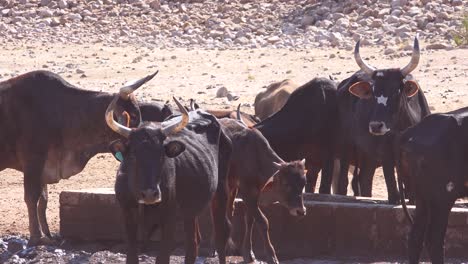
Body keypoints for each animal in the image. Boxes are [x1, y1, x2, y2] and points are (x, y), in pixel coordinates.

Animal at [0, 70, 165, 245]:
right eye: (133, 116)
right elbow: (32, 197)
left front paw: (48, 235)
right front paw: (36, 237)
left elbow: (43, 200)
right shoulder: (33, 161)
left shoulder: (44, 167)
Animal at [108, 96, 234, 264]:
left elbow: (162, 257)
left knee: (222, 232)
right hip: (190, 210)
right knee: (194, 242)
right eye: (133, 154)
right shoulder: (128, 214)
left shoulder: (169, 218)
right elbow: (132, 256)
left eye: (161, 154)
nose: (150, 194)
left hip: (221, 189)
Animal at [334, 37, 430, 203]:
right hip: (345, 148)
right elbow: (394, 193)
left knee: (364, 181)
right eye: (373, 93)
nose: (375, 126)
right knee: (343, 183)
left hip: (367, 157)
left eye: (396, 92)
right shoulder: (387, 158)